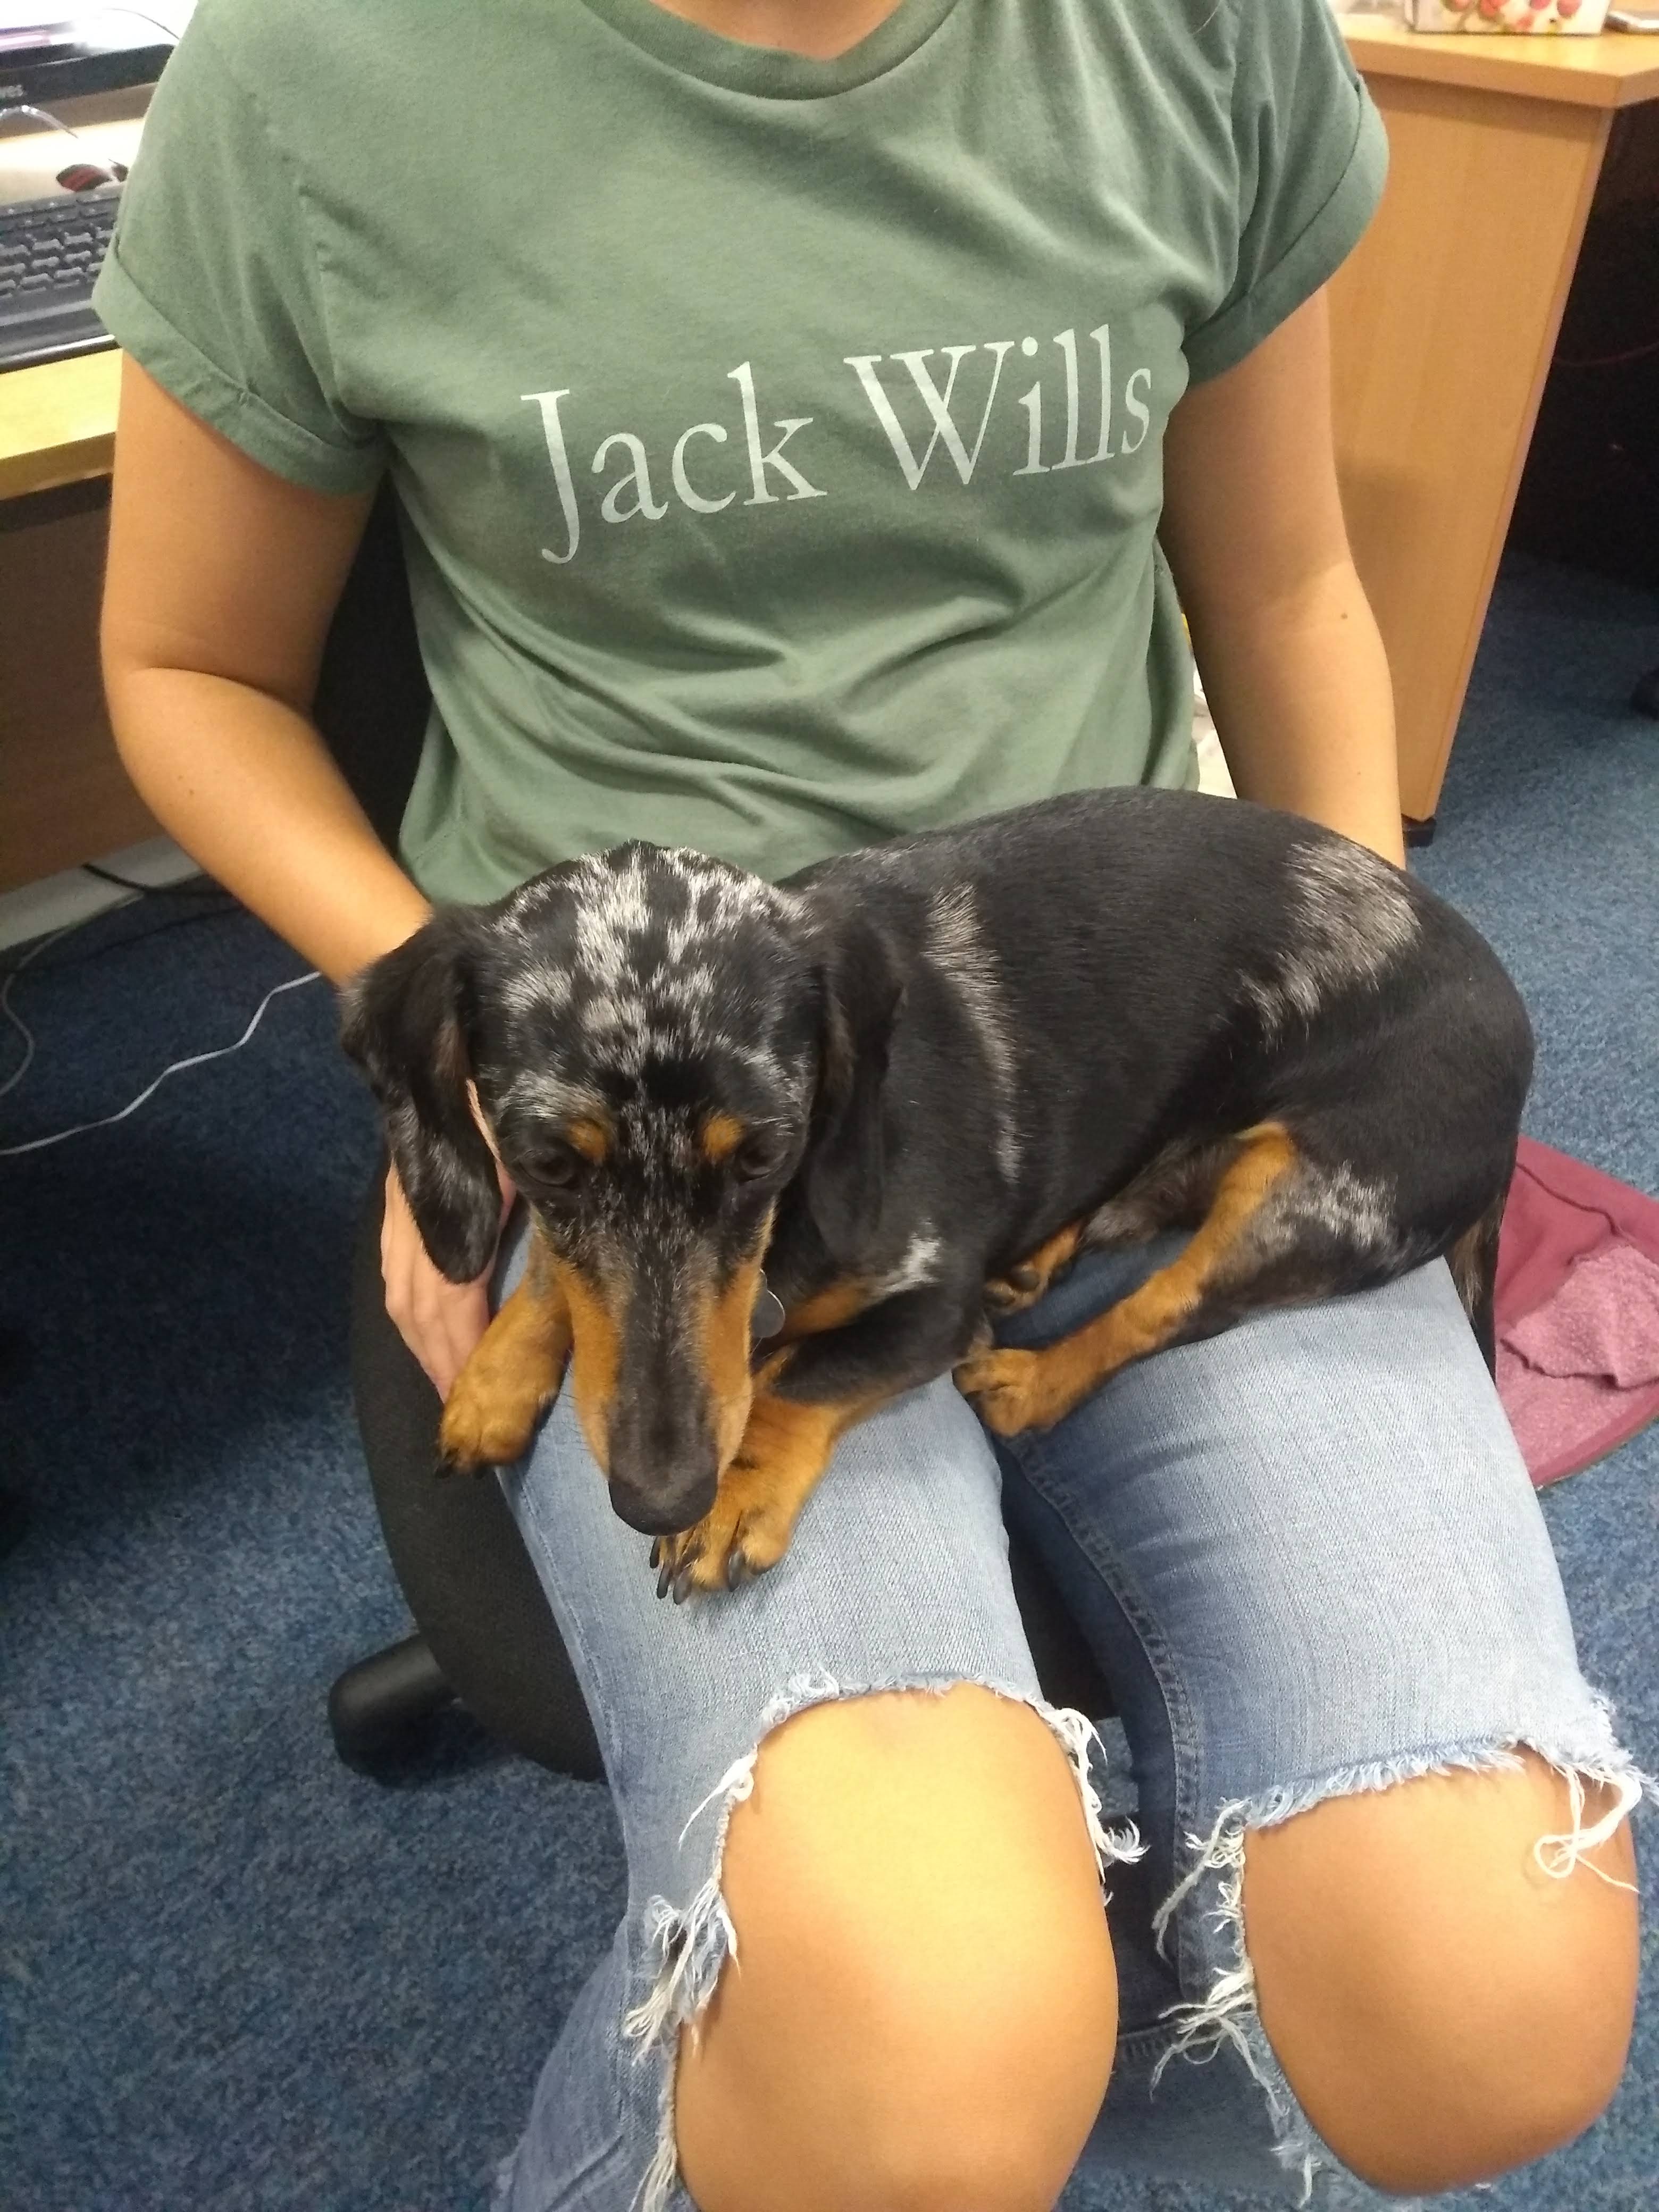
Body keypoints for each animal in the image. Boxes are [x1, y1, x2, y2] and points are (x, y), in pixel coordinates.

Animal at [345, 787, 1539, 1601]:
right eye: (547, 1163)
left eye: (763, 1155)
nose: (660, 1496)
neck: (791, 1235)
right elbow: (562, 1274)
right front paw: (498, 1374)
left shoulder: (928, 1307)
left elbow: (800, 1379)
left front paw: (736, 1495)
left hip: (1317, 1190)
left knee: (1166, 1306)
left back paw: (1034, 1378)